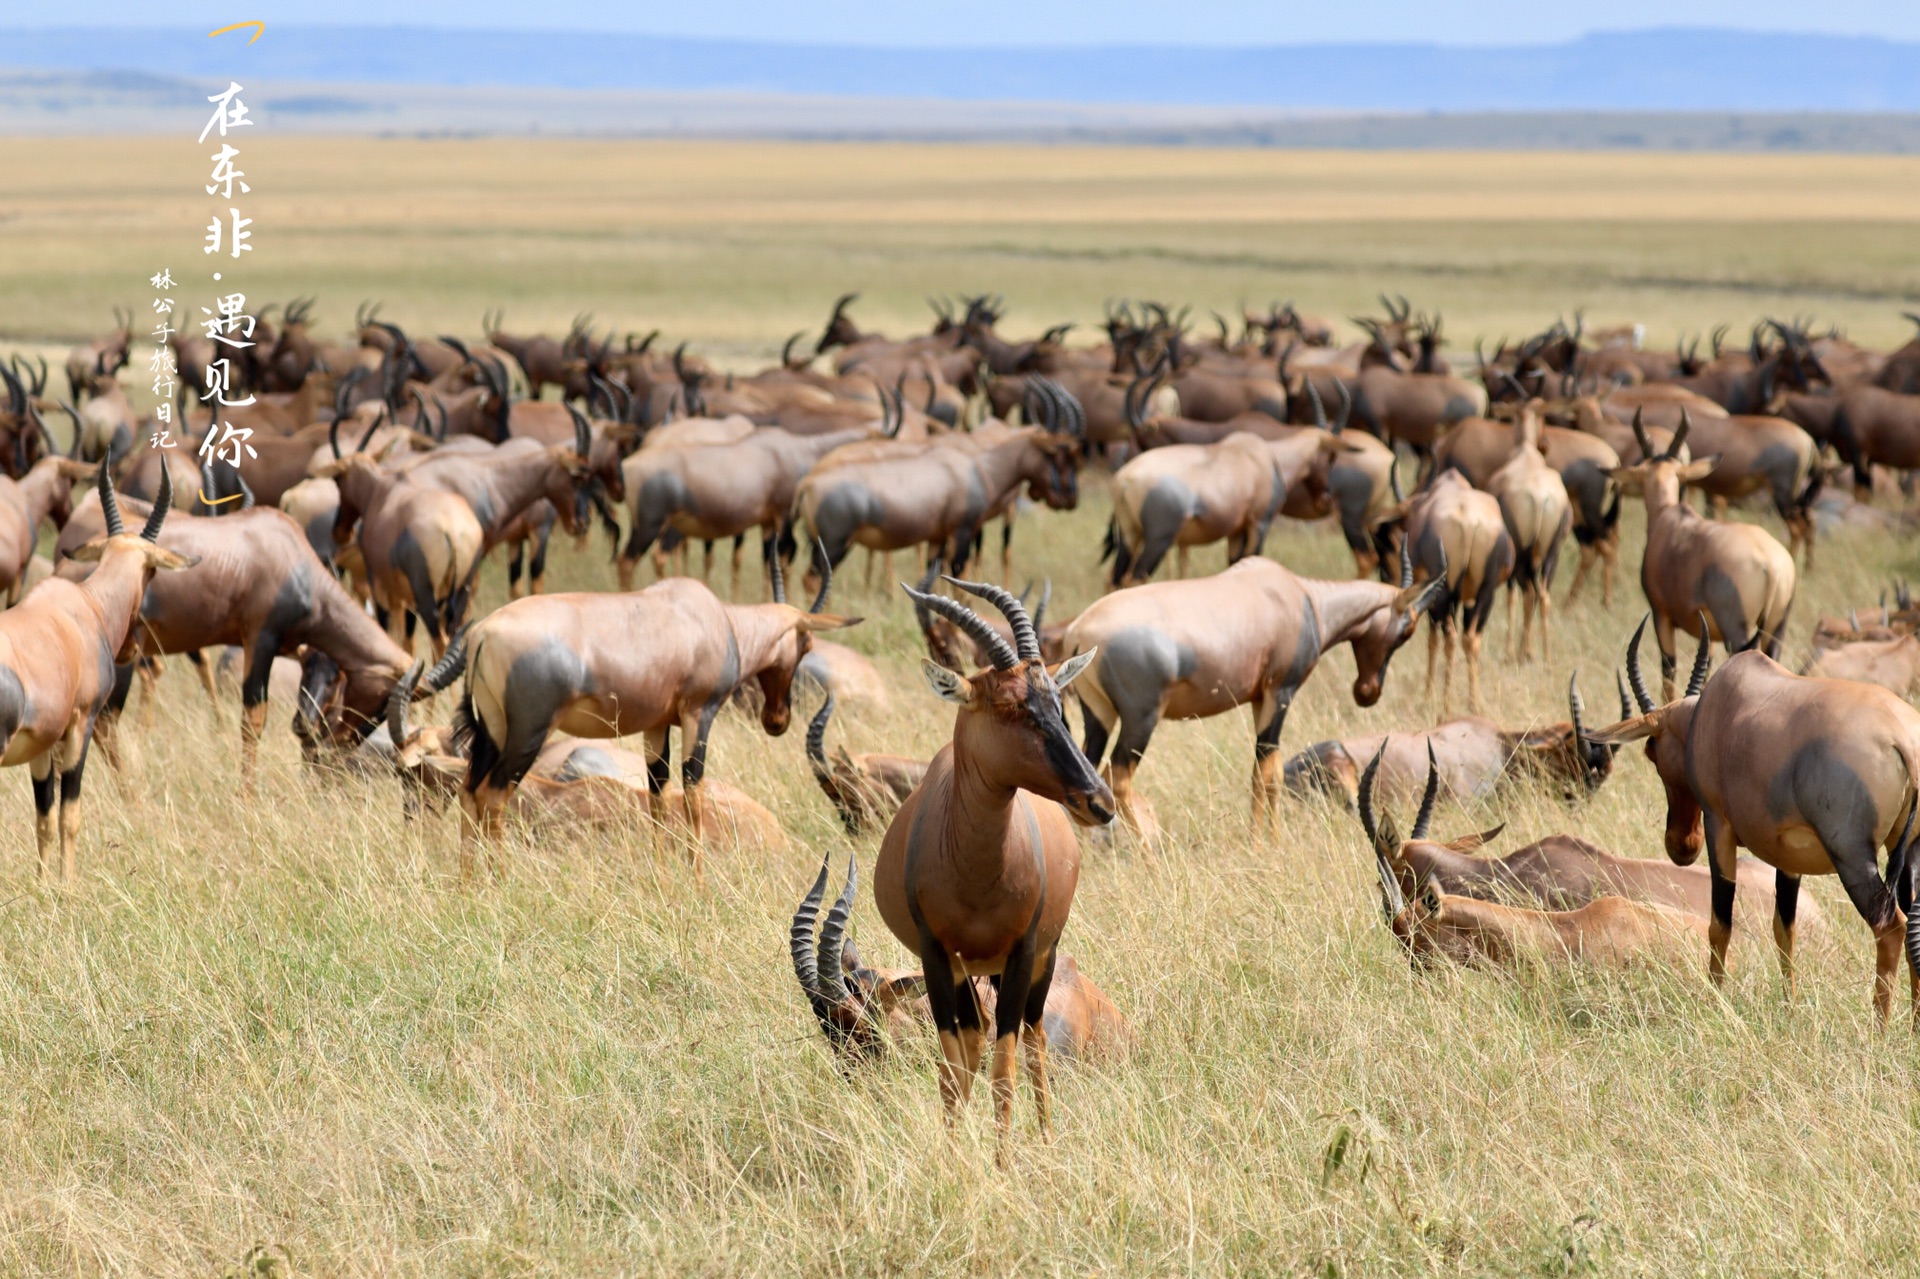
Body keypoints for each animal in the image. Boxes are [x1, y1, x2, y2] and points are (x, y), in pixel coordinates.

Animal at [0, 468, 194, 875]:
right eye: (151, 571)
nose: (131, 649)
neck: (84, 606)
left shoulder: (43, 742)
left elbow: (44, 818)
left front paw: (44, 883)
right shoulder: (81, 725)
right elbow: (69, 816)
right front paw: (68, 885)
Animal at [875, 576, 1113, 1152]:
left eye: (1057, 701)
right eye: (1011, 707)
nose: (1100, 802)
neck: (977, 876)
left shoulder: (1024, 952)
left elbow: (1005, 1070)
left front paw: (1005, 1162)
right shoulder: (936, 957)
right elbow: (952, 1066)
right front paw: (954, 1155)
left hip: (1039, 961)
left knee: (1030, 1041)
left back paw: (1046, 1139)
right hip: (970, 971)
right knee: (973, 1044)